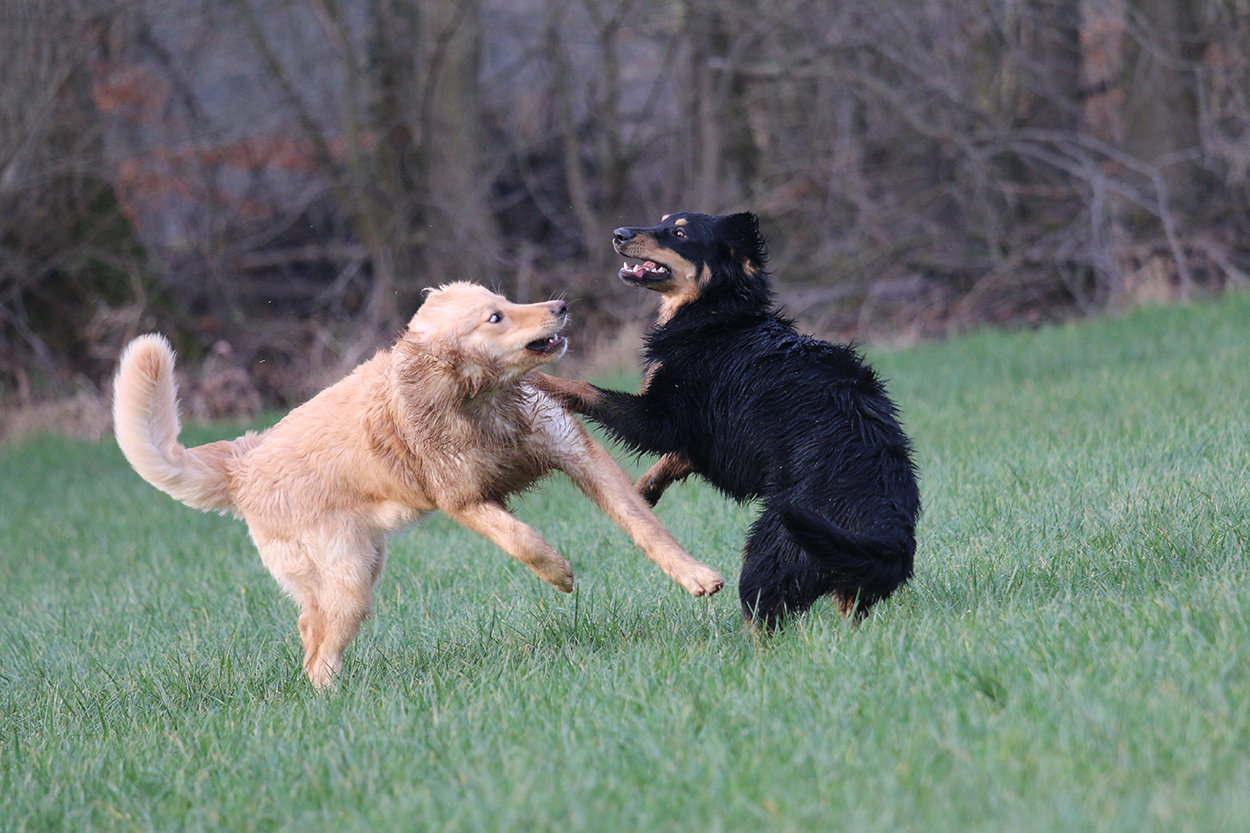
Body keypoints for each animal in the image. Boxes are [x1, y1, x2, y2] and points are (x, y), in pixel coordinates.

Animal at [113, 282, 723, 688]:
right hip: (350, 577)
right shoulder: (464, 500)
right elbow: (519, 539)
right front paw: (558, 572)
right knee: (319, 652)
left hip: (354, 572)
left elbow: (644, 526)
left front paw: (695, 576)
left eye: (506, 298)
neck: (479, 402)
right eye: (495, 317)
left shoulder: (578, 454)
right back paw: (331, 702)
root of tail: (242, 467)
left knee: (309, 628)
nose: (561, 306)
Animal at [535, 212, 920, 628]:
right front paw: (642, 492)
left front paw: (537, 378)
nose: (618, 234)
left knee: (763, 615)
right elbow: (678, 458)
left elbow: (587, 389)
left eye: (680, 232)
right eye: (663, 220)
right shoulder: (709, 435)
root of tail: (891, 534)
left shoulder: (661, 418)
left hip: (776, 547)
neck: (717, 316)